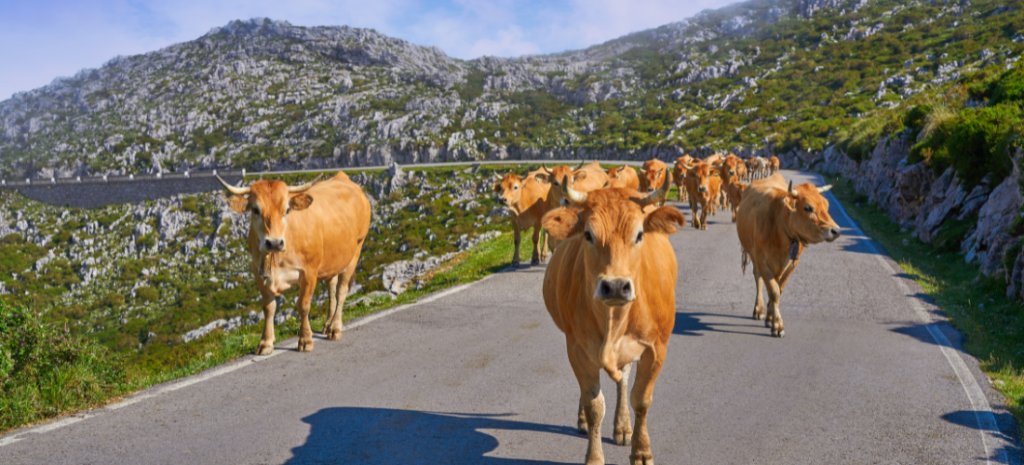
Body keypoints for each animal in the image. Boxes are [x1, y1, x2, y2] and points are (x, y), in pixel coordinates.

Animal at [218, 172, 371, 355]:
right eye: (255, 210)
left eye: (287, 209)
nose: (274, 242)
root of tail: (342, 177)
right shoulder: (258, 273)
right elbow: (269, 308)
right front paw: (266, 342)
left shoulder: (309, 271)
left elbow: (303, 305)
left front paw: (305, 339)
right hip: (333, 260)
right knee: (331, 288)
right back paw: (327, 324)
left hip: (356, 251)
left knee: (341, 291)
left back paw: (335, 328)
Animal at [541, 177, 683, 465]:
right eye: (588, 235)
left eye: (639, 235)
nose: (616, 286)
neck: (613, 320)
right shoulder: (577, 348)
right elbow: (594, 404)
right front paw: (594, 457)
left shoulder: (657, 349)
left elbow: (641, 399)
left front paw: (641, 451)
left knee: (624, 379)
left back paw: (623, 426)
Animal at [736, 173, 841, 337]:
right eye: (808, 207)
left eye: (826, 205)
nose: (836, 230)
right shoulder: (762, 260)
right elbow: (774, 291)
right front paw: (778, 325)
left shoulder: (792, 264)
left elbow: (779, 289)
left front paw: (772, 318)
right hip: (753, 255)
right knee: (758, 278)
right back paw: (759, 309)